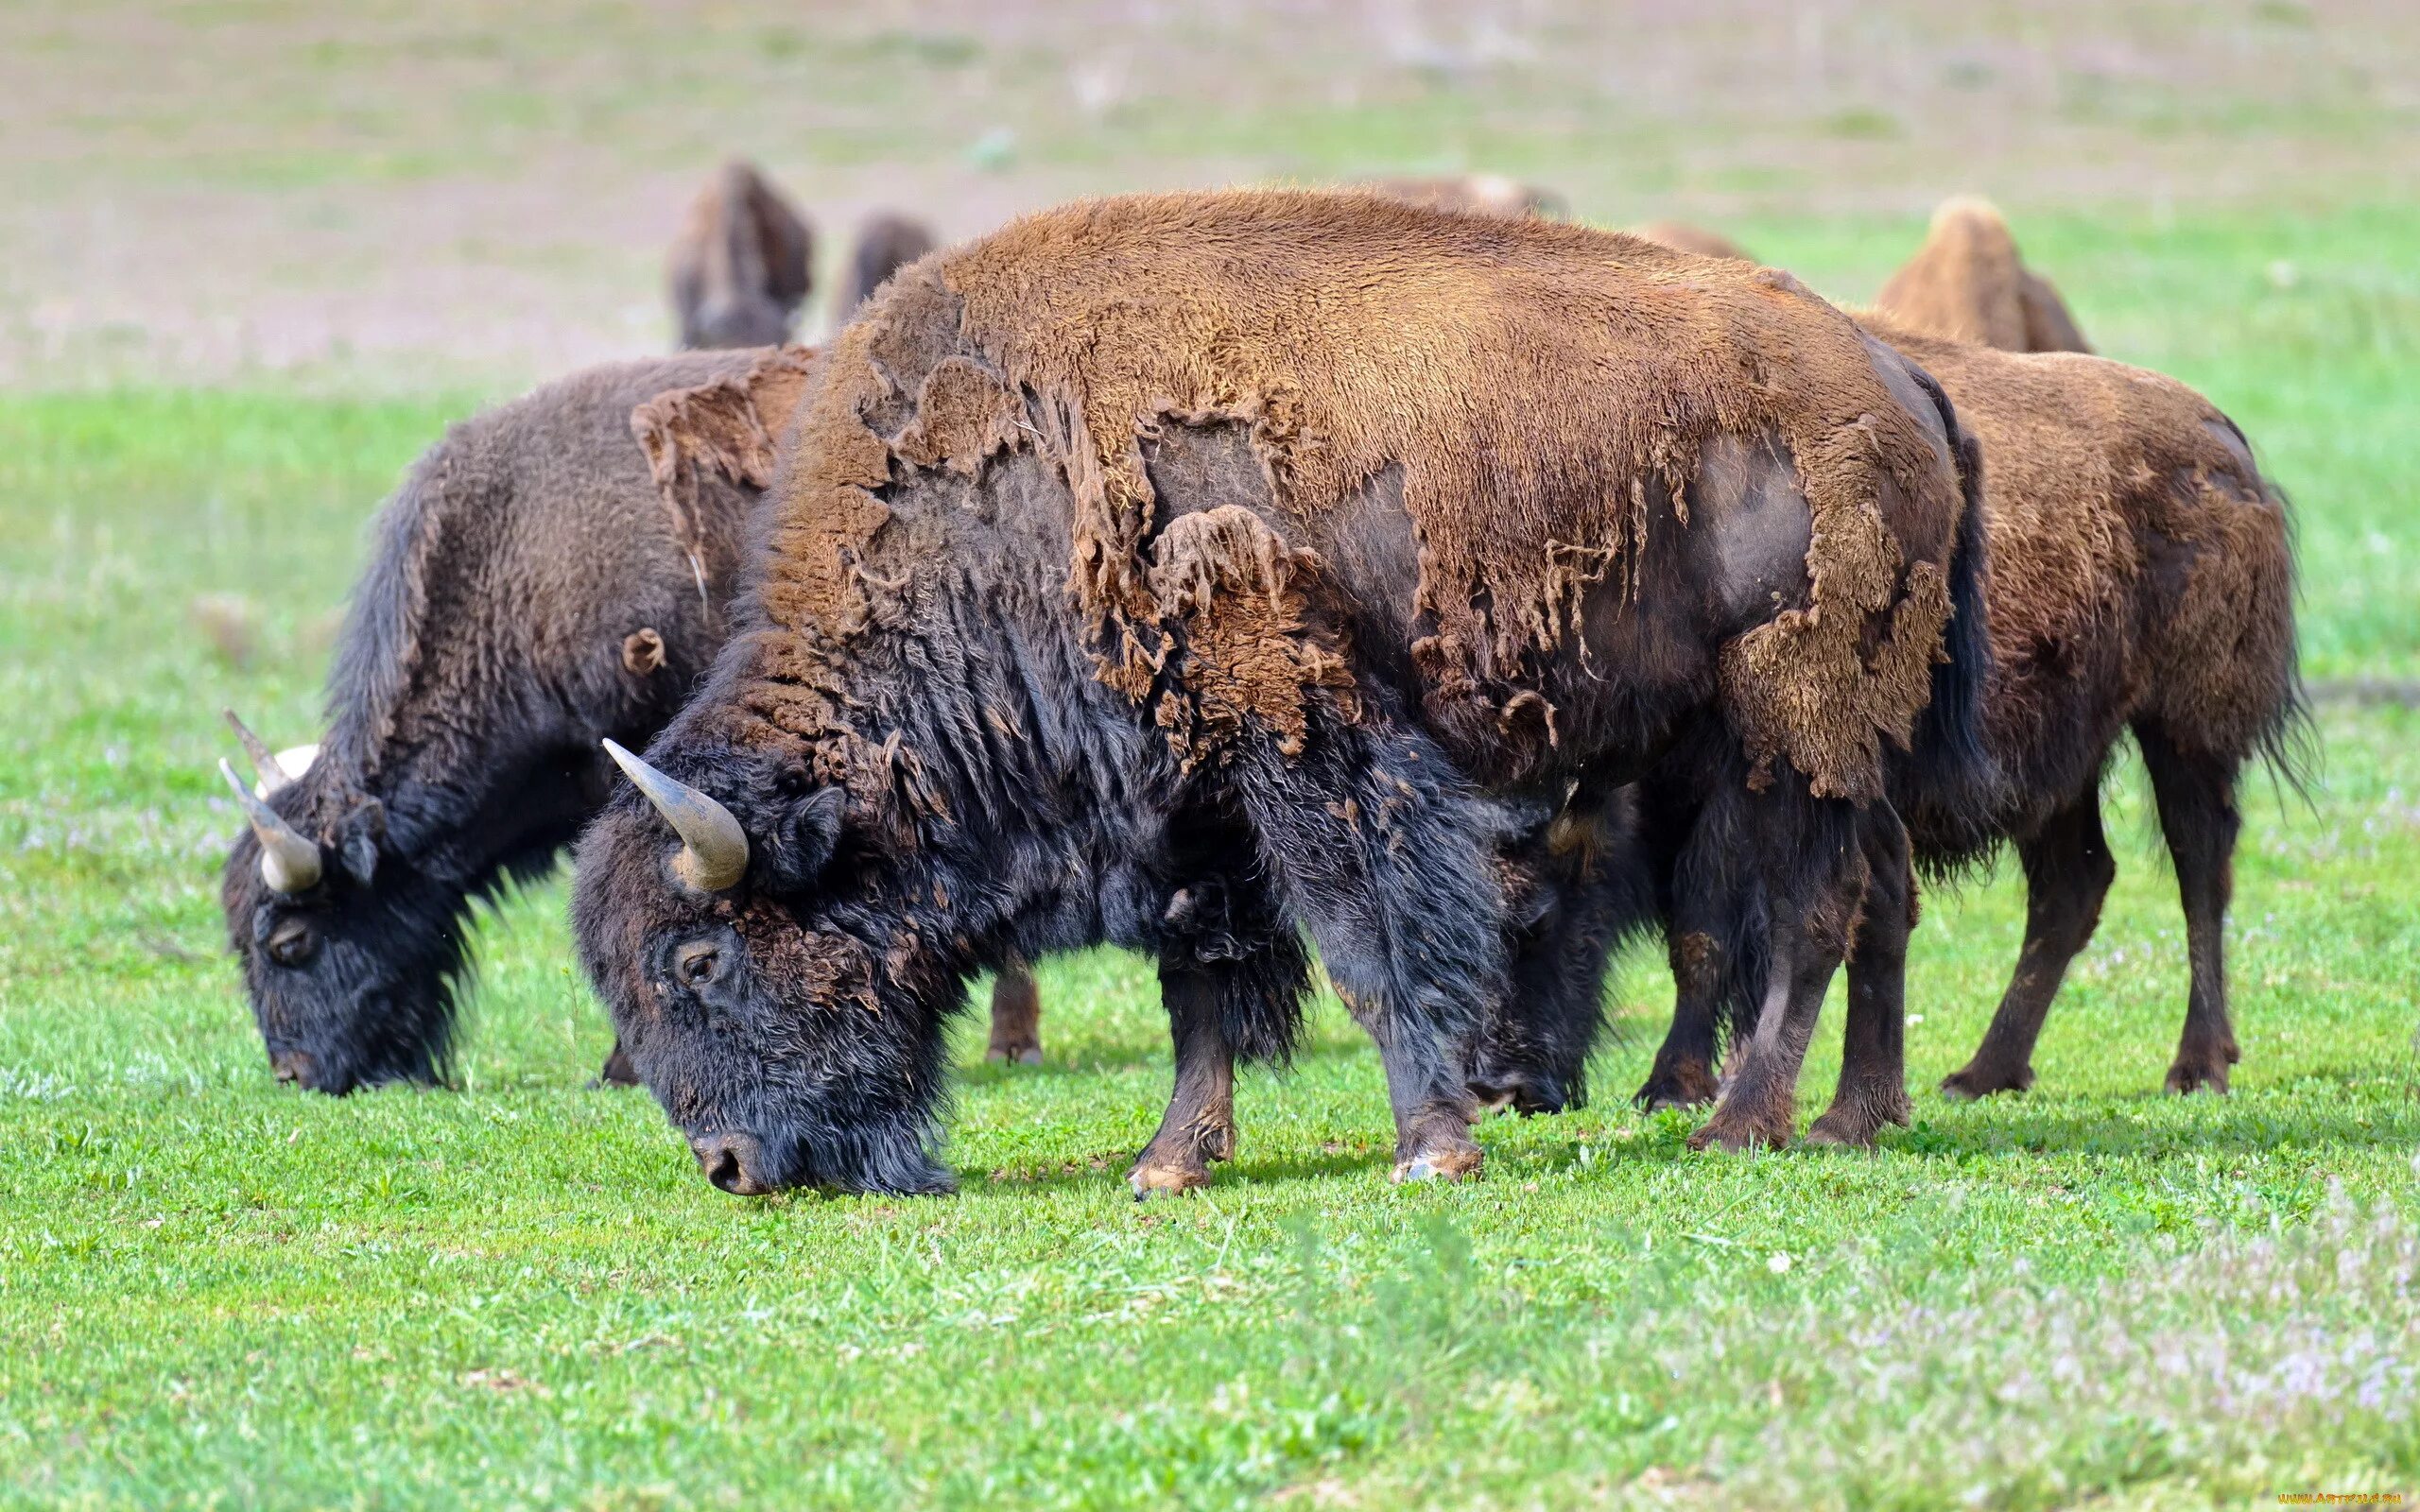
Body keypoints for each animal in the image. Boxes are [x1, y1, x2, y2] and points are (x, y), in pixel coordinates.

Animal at [566, 188, 1984, 1190]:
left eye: (697, 959)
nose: (731, 1167)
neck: (992, 515)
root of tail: (1893, 378)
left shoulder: (1298, 753)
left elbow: (1363, 945)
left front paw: (1432, 1148)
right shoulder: (1190, 804)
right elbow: (1203, 985)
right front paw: (1167, 1165)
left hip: (1788, 722)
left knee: (1808, 914)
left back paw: (1743, 1127)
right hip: (1815, 740)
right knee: (1871, 904)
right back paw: (1851, 1119)